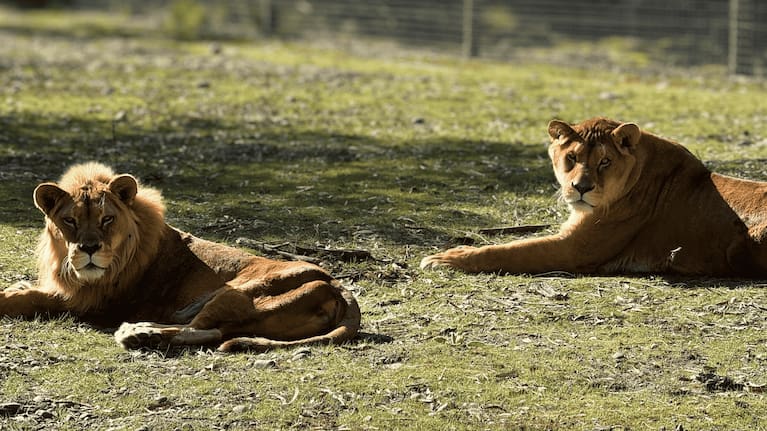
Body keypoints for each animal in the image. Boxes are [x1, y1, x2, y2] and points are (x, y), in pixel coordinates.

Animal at [0, 162, 360, 352]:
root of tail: (339, 288)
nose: (89, 248)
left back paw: (137, 333)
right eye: (70, 221)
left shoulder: (90, 301)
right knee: (208, 330)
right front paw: (17, 286)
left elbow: (31, 299)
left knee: (203, 331)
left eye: (107, 219)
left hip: (240, 292)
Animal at [421, 117, 767, 277]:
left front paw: (446, 258)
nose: (581, 187)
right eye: (572, 158)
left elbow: (509, 251)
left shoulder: (574, 249)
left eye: (605, 162)